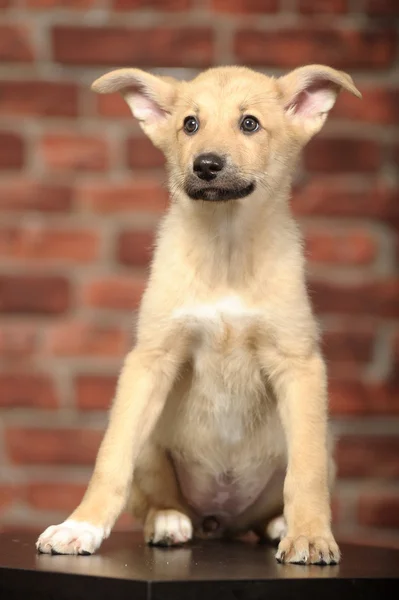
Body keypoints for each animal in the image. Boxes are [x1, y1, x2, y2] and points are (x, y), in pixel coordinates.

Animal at [36, 64, 362, 564]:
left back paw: (280, 524)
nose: (206, 165)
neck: (224, 249)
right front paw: (80, 526)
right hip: (151, 444)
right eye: (190, 124)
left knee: (286, 488)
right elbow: (110, 458)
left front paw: (309, 534)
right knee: (156, 497)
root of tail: (220, 521)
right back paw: (169, 521)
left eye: (249, 123)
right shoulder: (149, 361)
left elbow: (304, 474)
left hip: (325, 447)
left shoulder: (299, 364)